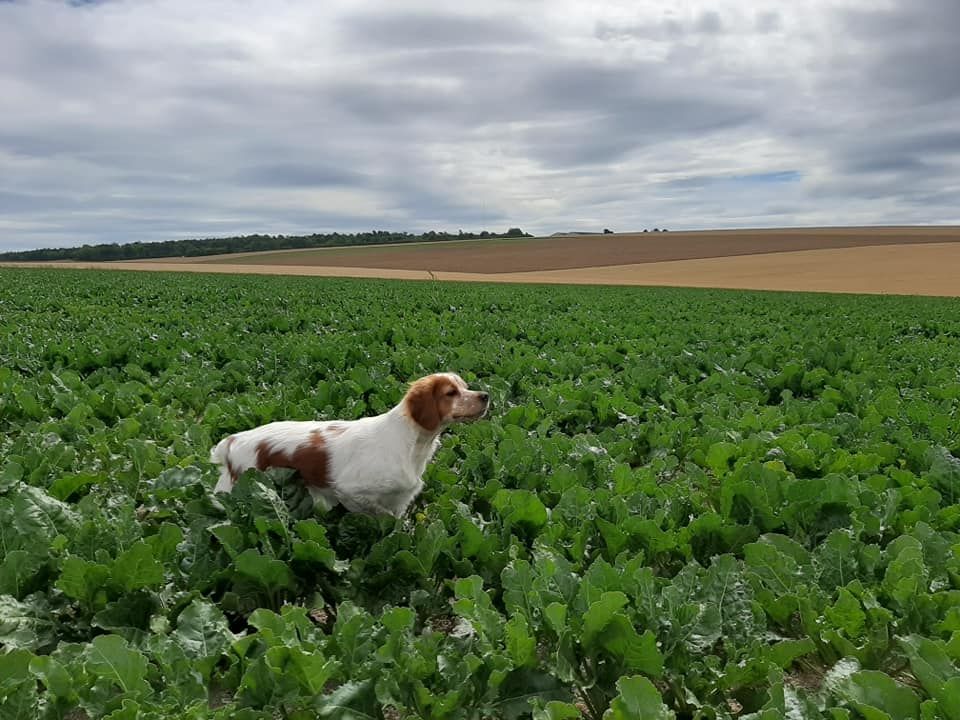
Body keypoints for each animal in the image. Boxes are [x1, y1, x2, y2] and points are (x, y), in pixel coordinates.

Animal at [205, 372, 484, 516]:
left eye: (465, 387)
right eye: (451, 393)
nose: (486, 395)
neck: (410, 443)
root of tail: (233, 441)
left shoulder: (399, 501)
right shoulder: (351, 491)